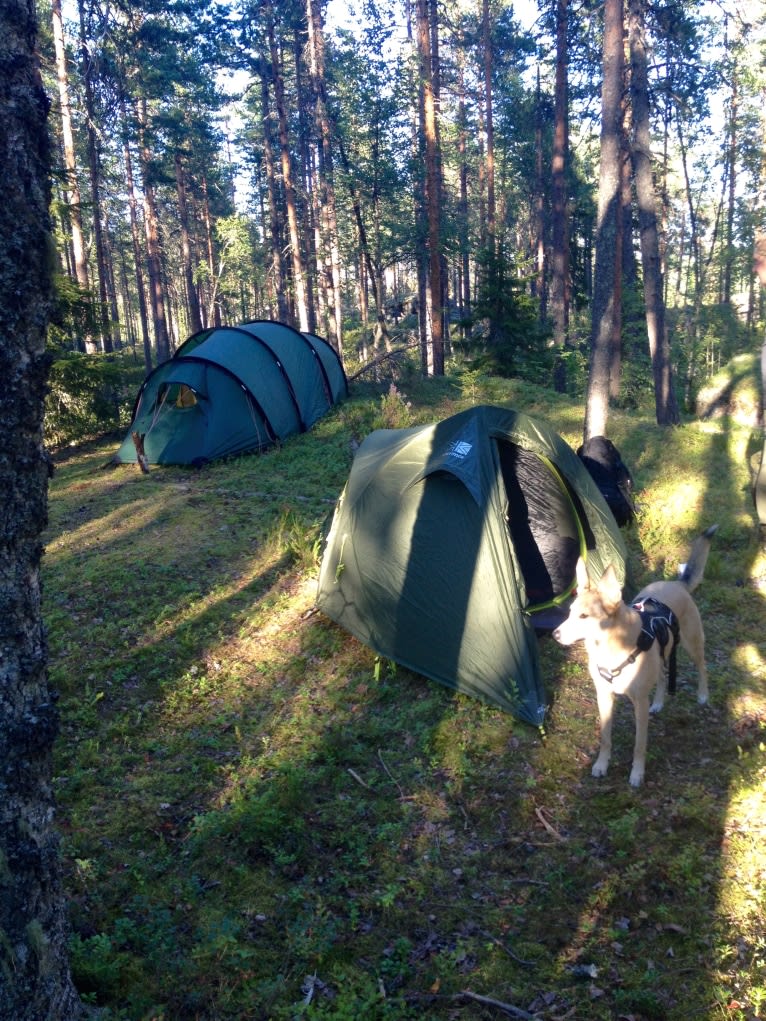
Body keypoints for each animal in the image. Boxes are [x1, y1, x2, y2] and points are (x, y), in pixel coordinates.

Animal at [555, 526, 719, 788]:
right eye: (570, 613)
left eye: (584, 616)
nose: (555, 634)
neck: (610, 647)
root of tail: (677, 584)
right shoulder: (604, 697)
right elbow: (605, 737)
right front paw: (601, 764)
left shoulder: (639, 703)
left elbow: (639, 745)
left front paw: (637, 774)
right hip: (663, 651)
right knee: (662, 676)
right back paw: (659, 702)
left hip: (693, 644)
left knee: (702, 667)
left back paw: (703, 695)